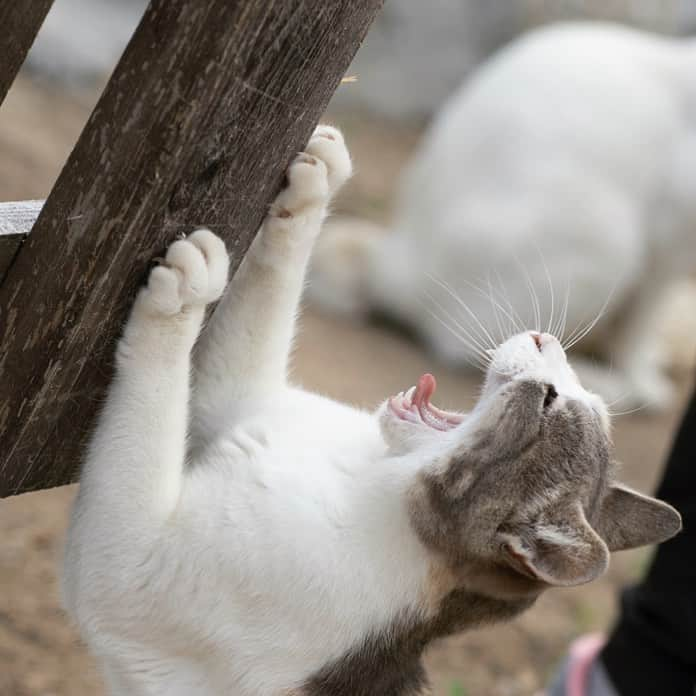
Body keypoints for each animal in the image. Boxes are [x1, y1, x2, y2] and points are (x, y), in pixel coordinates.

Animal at [64, 122, 680, 692]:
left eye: (551, 399)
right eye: (568, 387)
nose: (542, 338)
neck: (374, 474)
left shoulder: (131, 569)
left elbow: (155, 392)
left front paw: (184, 297)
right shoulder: (238, 397)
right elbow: (271, 293)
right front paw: (315, 183)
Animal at [310, 24, 696, 410]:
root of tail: (402, 267)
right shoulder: (662, 258)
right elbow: (639, 328)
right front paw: (648, 387)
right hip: (605, 256)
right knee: (465, 344)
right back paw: (606, 385)